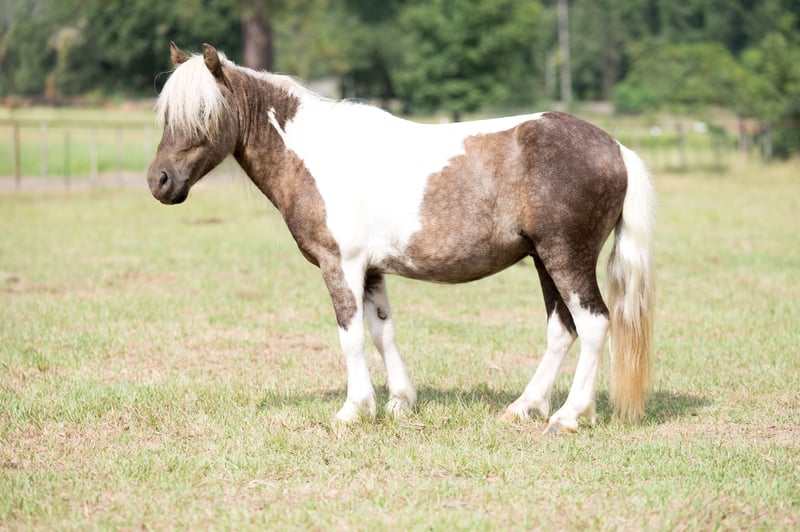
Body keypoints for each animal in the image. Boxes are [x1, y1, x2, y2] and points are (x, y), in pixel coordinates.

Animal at [147, 42, 655, 434]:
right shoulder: (371, 270)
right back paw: (523, 408)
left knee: (593, 324)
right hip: (544, 261)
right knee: (561, 330)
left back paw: (569, 416)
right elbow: (381, 331)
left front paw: (353, 410)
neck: (318, 154)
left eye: (204, 113)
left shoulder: (341, 265)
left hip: (566, 258)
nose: (159, 181)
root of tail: (615, 148)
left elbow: (350, 335)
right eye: (166, 115)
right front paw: (399, 402)